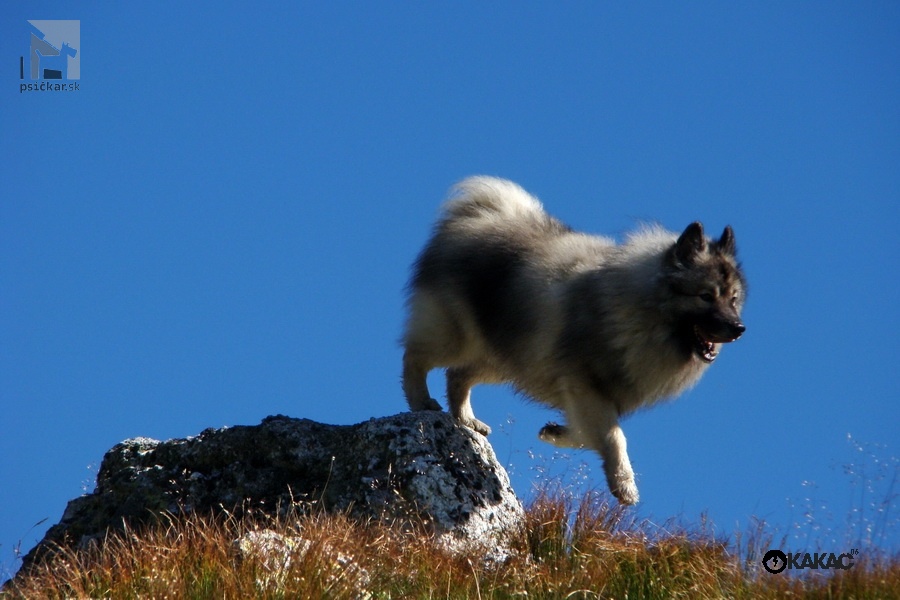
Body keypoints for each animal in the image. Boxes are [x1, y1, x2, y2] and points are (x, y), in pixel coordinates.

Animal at [402, 176, 744, 504]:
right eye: (706, 296)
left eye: (733, 298)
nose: (739, 328)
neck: (637, 309)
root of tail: (479, 215)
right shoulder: (584, 384)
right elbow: (614, 436)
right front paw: (624, 484)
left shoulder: (589, 394)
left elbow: (589, 433)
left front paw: (555, 432)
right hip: (457, 338)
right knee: (415, 359)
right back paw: (421, 401)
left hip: (507, 357)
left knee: (458, 375)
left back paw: (466, 420)